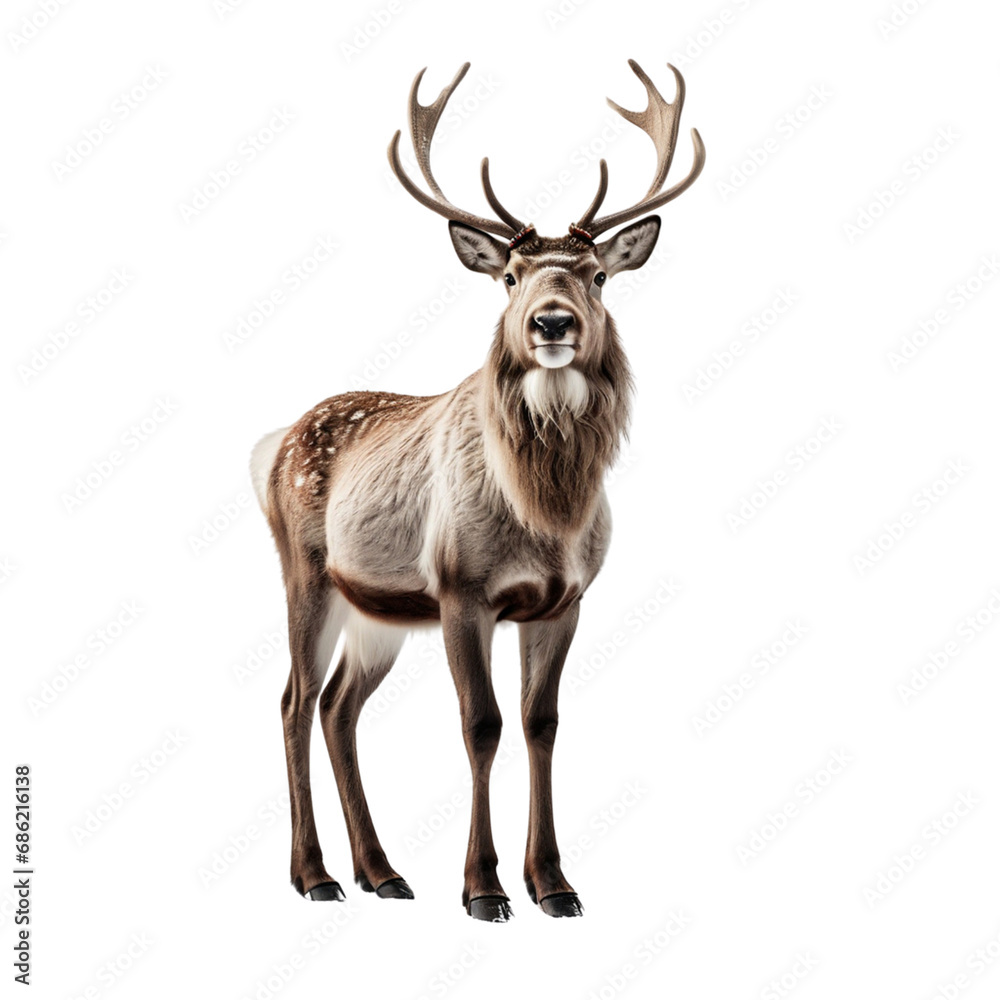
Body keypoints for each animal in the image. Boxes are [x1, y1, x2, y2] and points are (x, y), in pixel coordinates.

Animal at [250, 60, 704, 921]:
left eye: (599, 276)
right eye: (510, 277)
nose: (552, 322)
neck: (545, 515)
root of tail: (270, 446)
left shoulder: (564, 599)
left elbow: (541, 722)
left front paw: (554, 884)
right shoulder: (462, 586)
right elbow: (482, 723)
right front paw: (483, 888)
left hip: (380, 610)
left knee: (337, 705)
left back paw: (382, 872)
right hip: (305, 570)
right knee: (293, 698)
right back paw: (315, 875)